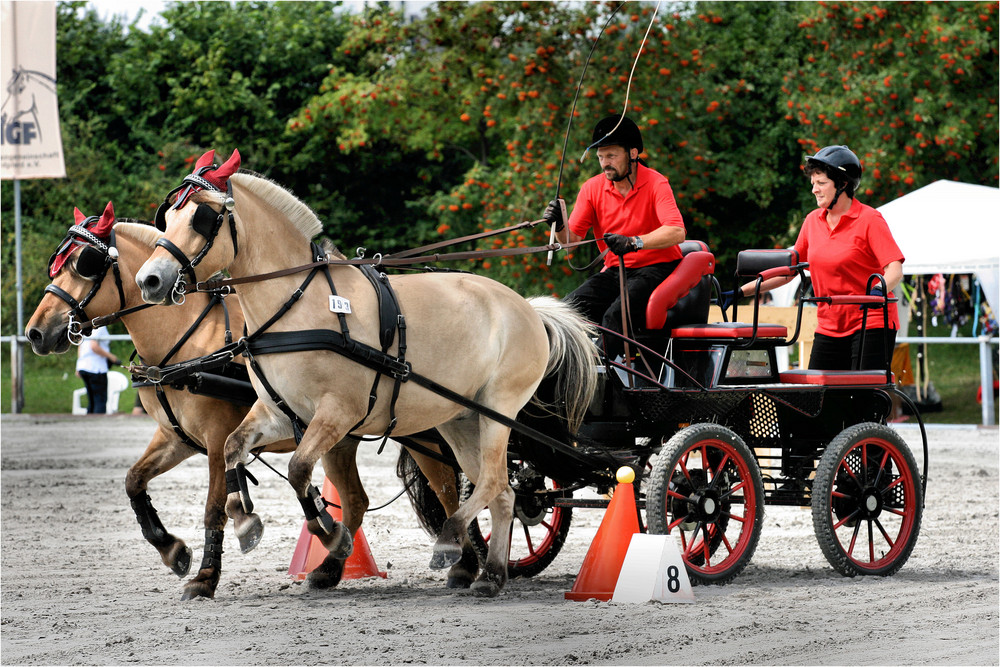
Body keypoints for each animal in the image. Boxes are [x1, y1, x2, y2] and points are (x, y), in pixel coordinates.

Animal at [24, 202, 300, 600]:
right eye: (55, 265)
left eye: (84, 263)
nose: (35, 332)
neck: (189, 342)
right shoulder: (175, 437)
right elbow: (133, 480)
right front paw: (172, 549)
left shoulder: (218, 439)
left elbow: (214, 508)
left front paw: (205, 576)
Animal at [136, 153, 596, 600]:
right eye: (167, 217)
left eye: (202, 217)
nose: (150, 280)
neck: (297, 308)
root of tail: (529, 308)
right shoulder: (278, 412)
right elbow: (234, 449)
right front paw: (247, 523)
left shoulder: (338, 412)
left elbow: (300, 470)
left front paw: (330, 533)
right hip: (460, 419)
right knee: (501, 492)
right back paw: (493, 575)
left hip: (497, 411)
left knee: (495, 482)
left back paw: (451, 544)